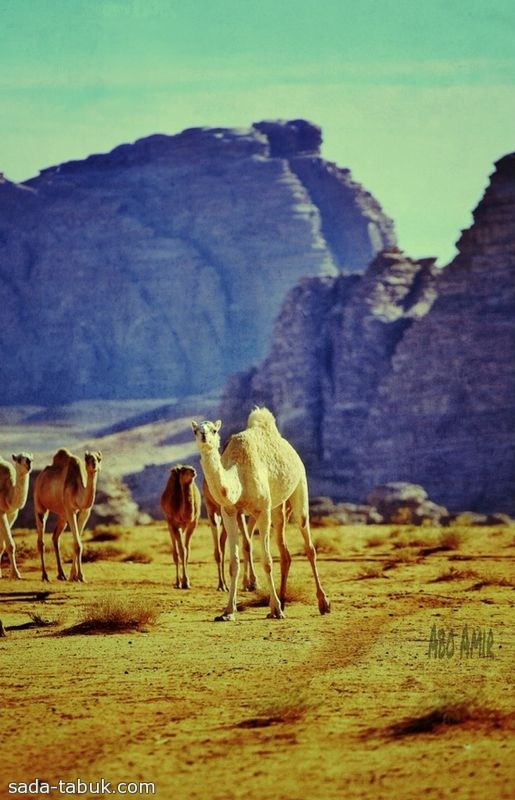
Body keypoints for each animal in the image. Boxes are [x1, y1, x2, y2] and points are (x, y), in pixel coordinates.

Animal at [34, 450, 102, 580]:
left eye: (99, 458)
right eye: (87, 458)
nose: (94, 464)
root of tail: (40, 476)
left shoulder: (85, 512)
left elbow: (77, 543)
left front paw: (73, 576)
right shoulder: (70, 510)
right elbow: (78, 544)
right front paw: (80, 576)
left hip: (62, 515)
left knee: (55, 537)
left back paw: (61, 574)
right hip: (39, 504)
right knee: (41, 541)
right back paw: (45, 575)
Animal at [192, 406, 330, 620]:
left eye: (214, 430)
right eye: (195, 431)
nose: (204, 437)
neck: (238, 476)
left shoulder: (263, 510)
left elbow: (267, 561)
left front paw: (275, 609)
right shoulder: (229, 511)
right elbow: (234, 563)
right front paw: (228, 611)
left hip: (299, 486)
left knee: (309, 546)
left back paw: (322, 603)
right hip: (277, 508)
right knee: (285, 551)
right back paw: (284, 600)